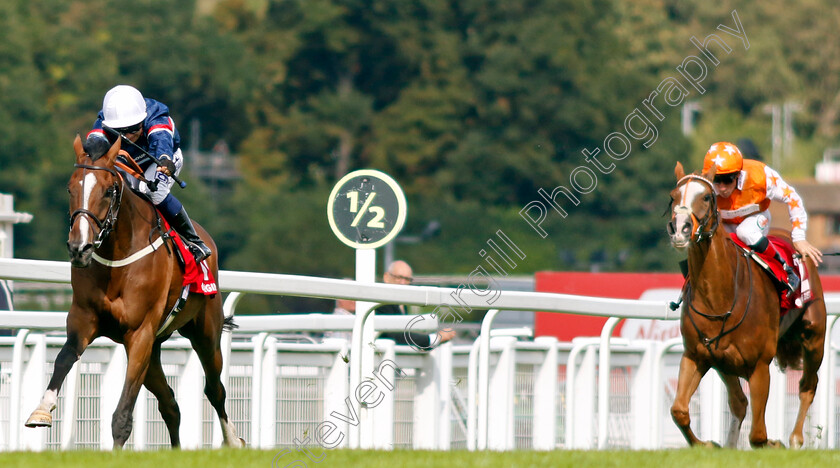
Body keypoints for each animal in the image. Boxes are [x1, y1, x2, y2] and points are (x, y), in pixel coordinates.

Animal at [23, 135, 244, 450]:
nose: (79, 248)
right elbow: (64, 358)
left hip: (205, 334)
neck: (117, 258)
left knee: (215, 389)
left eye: (108, 190)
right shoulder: (84, 320)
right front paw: (42, 410)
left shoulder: (140, 334)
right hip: (155, 349)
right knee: (170, 404)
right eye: (70, 187)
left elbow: (123, 414)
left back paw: (233, 440)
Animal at [668, 163, 828, 448]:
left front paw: (773, 444)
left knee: (807, 386)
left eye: (706, 197)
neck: (719, 297)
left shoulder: (760, 366)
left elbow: (758, 435)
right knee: (739, 402)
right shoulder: (696, 355)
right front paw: (707, 445)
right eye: (673, 196)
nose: (681, 229)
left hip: (814, 338)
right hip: (723, 363)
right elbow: (679, 411)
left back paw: (795, 439)